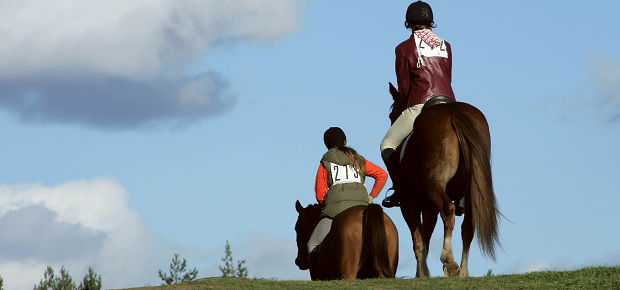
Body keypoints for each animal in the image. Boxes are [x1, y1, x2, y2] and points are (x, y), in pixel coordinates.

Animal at [388, 82, 504, 278]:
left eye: (391, 115)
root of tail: (454, 111)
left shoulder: (409, 204)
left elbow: (418, 241)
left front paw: (421, 274)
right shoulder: (428, 208)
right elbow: (425, 240)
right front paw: (423, 272)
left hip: (435, 187)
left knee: (448, 209)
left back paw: (449, 260)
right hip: (471, 193)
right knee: (468, 227)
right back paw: (463, 271)